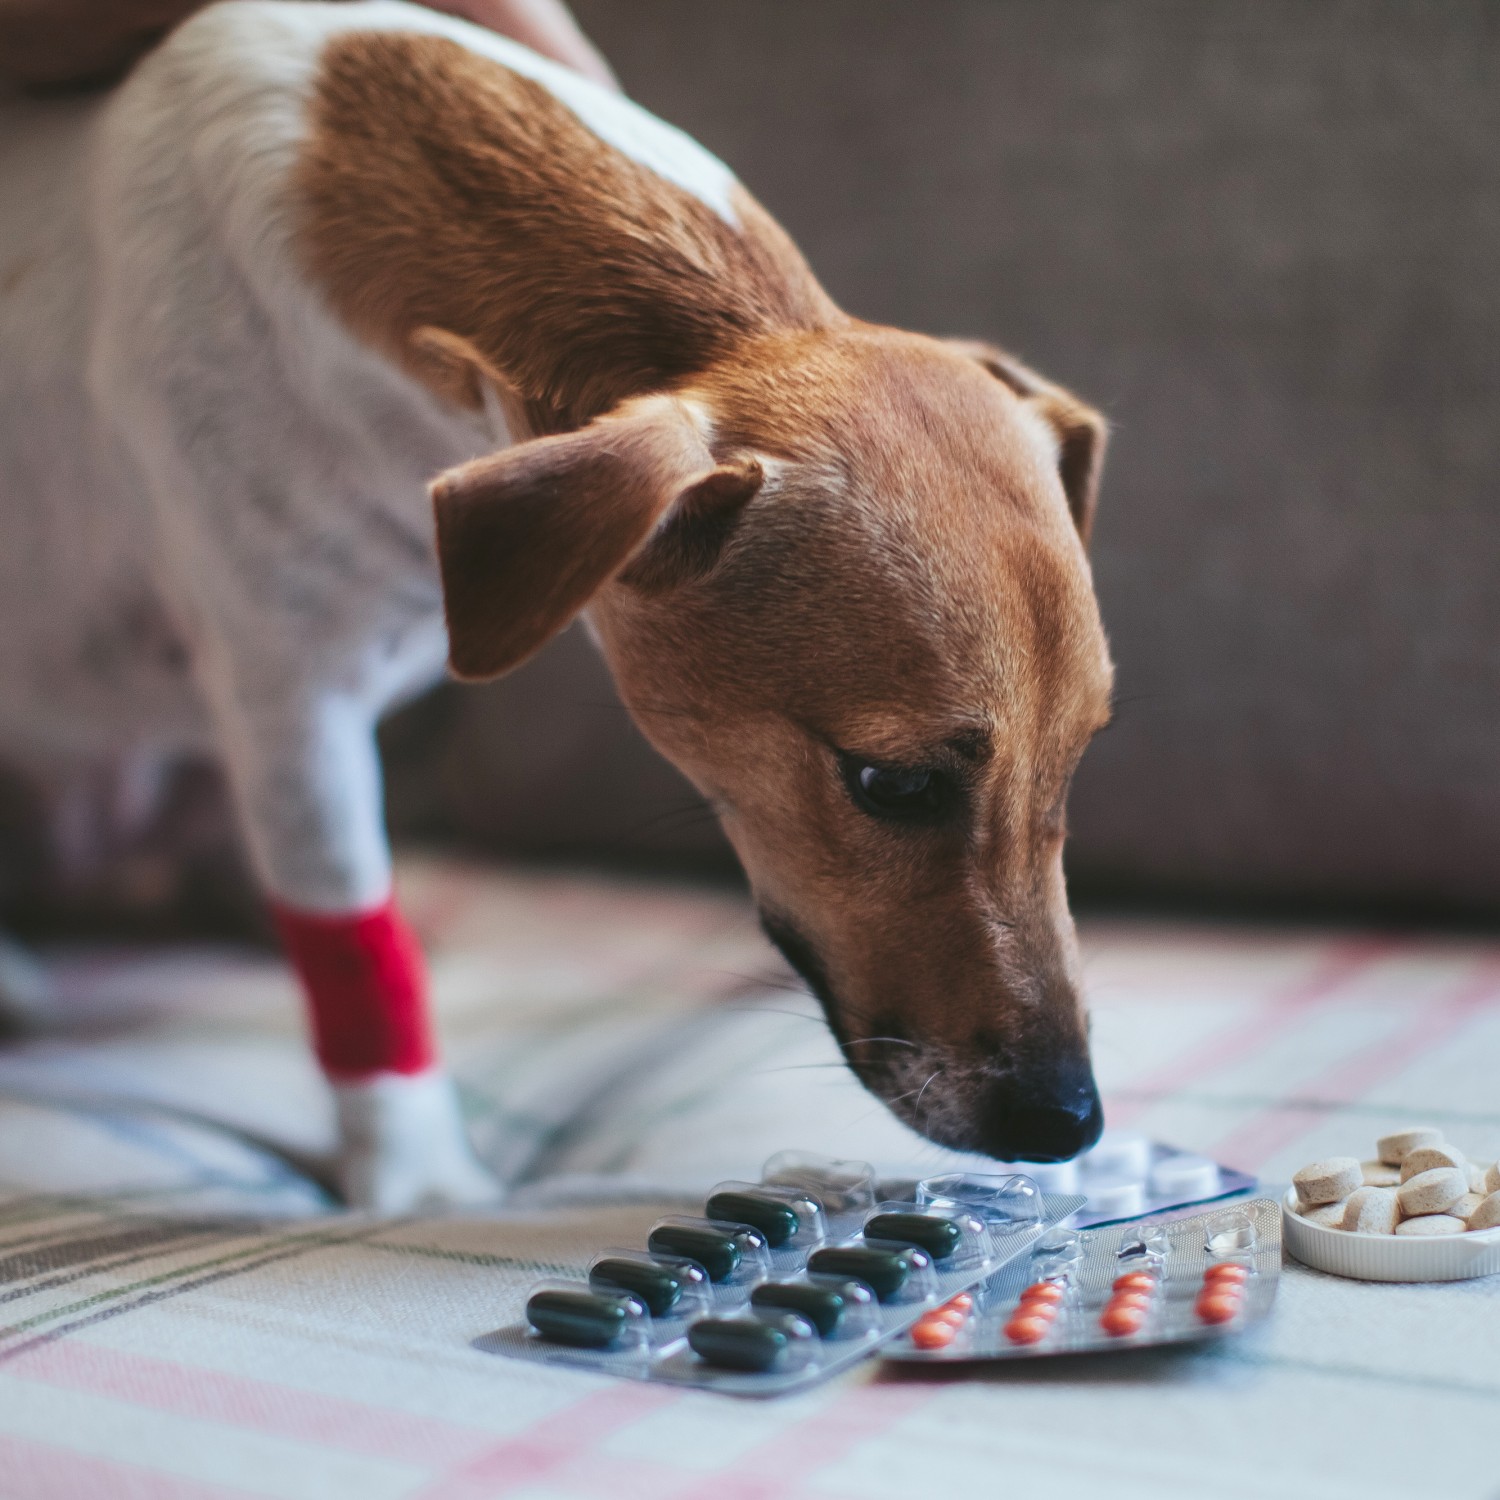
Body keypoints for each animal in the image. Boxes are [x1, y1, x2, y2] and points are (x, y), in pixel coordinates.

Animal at [0, 2, 1110, 1206]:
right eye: (891, 785)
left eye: (1078, 758)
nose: (1073, 1123)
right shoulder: (291, 707)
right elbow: (351, 933)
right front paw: (419, 1179)